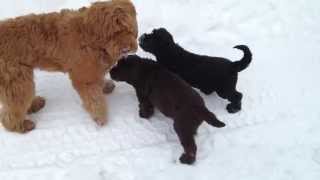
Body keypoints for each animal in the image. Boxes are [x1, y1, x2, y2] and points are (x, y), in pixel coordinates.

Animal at [0, 0, 138, 132]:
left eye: (129, 29)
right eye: (114, 32)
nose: (126, 49)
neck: (91, 34)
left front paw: (105, 86)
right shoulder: (84, 77)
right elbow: (95, 99)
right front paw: (100, 117)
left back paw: (34, 104)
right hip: (17, 80)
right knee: (11, 112)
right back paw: (22, 125)